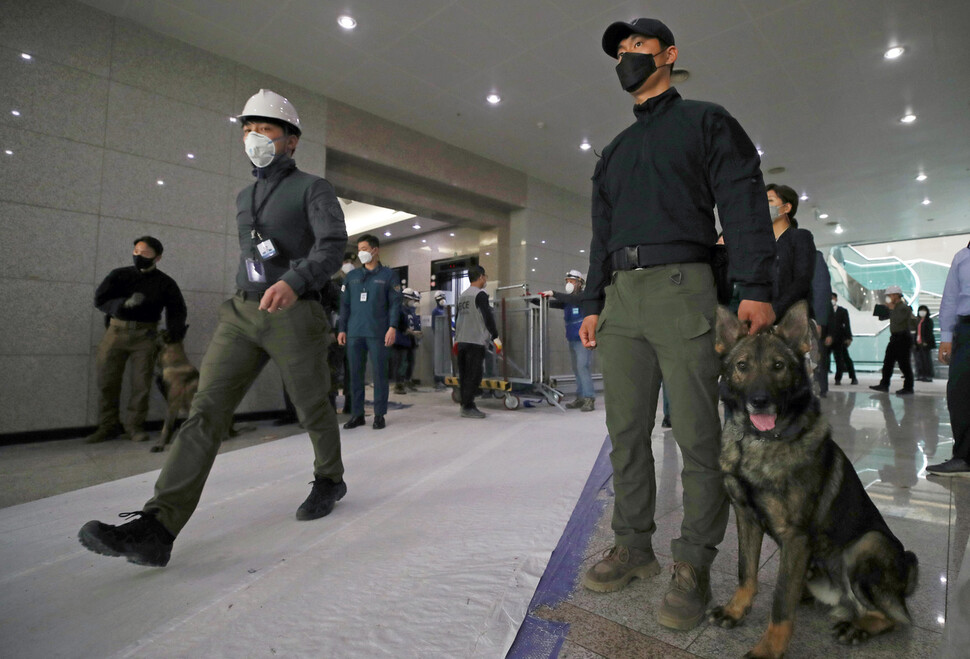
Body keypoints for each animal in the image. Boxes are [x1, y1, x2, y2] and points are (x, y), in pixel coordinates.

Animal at [708, 304, 912, 659]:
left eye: (778, 366)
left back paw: (857, 628)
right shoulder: (746, 518)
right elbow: (746, 572)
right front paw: (736, 610)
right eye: (742, 366)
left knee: (891, 616)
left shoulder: (795, 538)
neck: (760, 443)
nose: (760, 400)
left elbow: (780, 601)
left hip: (868, 543)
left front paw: (769, 649)